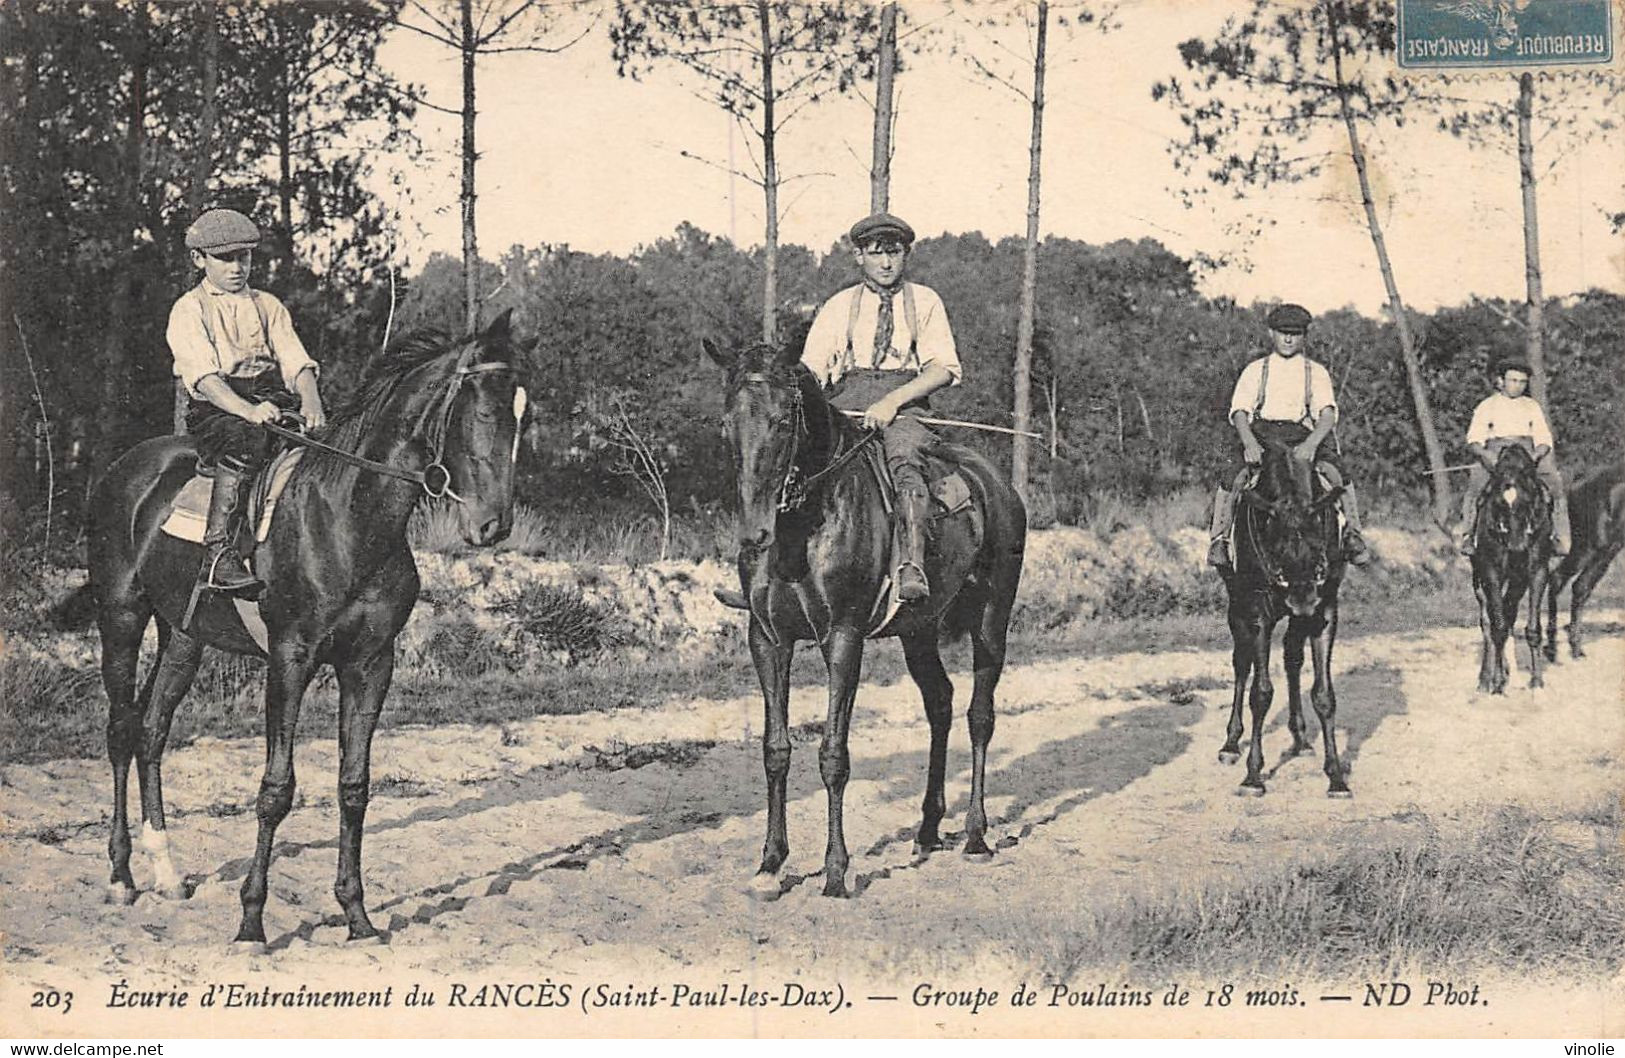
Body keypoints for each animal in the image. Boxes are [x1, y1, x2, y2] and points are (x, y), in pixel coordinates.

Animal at [88, 310, 523, 949]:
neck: (349, 516)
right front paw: (251, 922)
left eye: (521, 415)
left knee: (150, 732)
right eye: (485, 412)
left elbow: (354, 786)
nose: (493, 525)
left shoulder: (370, 664)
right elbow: (276, 790)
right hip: (120, 617)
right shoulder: (290, 659)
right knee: (121, 732)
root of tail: (126, 469)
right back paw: (121, 877)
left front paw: (357, 916)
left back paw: (166, 873)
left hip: (183, 638)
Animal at [702, 341, 1027, 903]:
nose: (753, 534)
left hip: (992, 620)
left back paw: (975, 834)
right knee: (940, 704)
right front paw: (770, 864)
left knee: (979, 716)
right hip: (919, 630)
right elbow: (775, 750)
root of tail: (997, 484)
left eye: (783, 420)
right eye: (727, 424)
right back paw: (926, 830)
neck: (805, 524)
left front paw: (836, 871)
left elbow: (834, 755)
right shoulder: (767, 639)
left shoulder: (844, 638)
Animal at [1222, 429, 1345, 793]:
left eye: (1319, 542)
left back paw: (1300, 738)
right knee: (1241, 664)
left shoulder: (1325, 611)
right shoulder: (1258, 612)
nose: (1302, 599)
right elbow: (1260, 693)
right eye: (1275, 546)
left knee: (1292, 659)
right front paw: (1253, 775)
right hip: (1238, 606)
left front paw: (1336, 775)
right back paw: (1230, 743)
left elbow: (1324, 694)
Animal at [1469, 442, 1553, 695]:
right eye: (1498, 503)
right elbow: (1497, 627)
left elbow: (1532, 628)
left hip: (1517, 581)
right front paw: (1496, 684)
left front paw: (1537, 681)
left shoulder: (1537, 572)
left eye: (1527, 501)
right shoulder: (1491, 573)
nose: (1517, 546)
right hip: (1479, 580)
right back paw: (1485, 680)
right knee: (1488, 622)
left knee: (1508, 613)